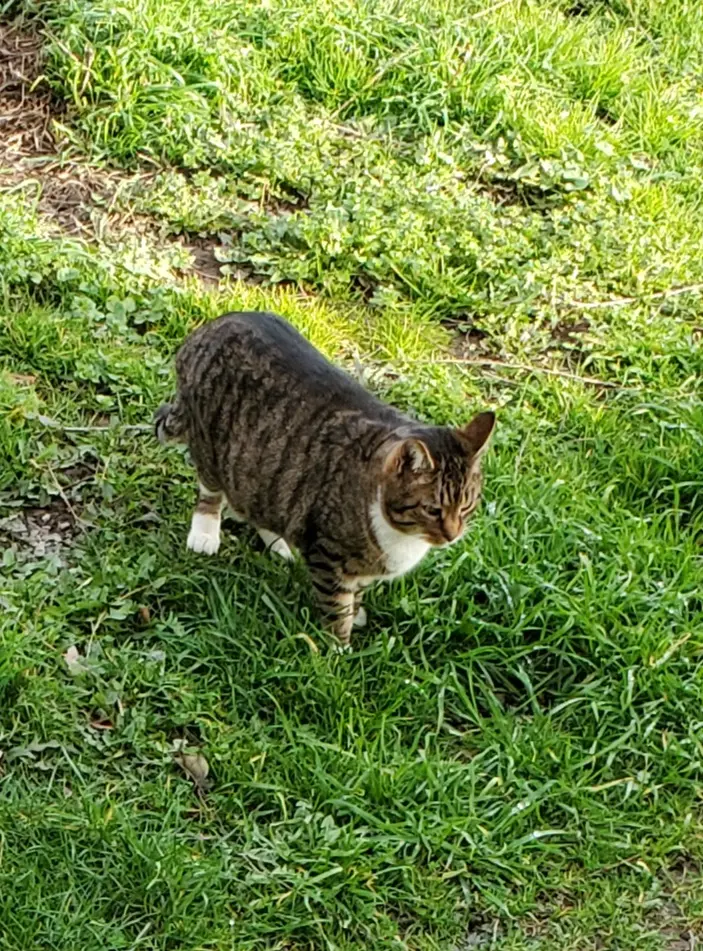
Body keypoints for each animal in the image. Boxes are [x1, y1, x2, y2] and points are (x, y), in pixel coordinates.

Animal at [155, 310, 496, 648]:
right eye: (433, 510)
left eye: (466, 507)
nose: (453, 535)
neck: (401, 536)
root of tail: (212, 326)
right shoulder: (327, 554)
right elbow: (336, 609)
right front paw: (339, 649)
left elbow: (356, 593)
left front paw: (356, 612)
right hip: (211, 443)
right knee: (211, 489)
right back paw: (205, 533)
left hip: (261, 470)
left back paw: (279, 543)